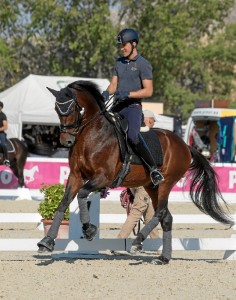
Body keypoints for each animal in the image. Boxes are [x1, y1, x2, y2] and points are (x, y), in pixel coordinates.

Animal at [37, 80, 234, 264]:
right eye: (56, 109)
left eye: (73, 108)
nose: (66, 141)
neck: (91, 136)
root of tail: (185, 145)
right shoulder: (76, 176)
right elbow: (63, 203)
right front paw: (47, 241)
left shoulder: (103, 178)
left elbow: (82, 194)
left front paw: (89, 230)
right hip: (151, 186)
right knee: (166, 217)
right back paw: (163, 258)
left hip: (166, 182)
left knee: (160, 213)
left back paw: (137, 241)